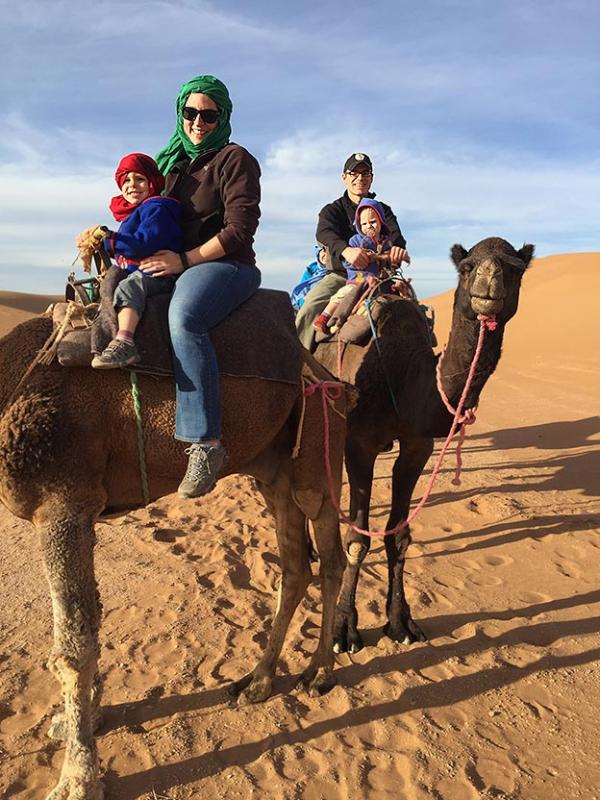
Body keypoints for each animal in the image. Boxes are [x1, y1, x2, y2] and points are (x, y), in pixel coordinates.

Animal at [0, 316, 352, 796]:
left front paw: (77, 778)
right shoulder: (82, 511)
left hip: (317, 449)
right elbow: (91, 620)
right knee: (295, 568)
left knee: (333, 558)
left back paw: (320, 673)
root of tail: (328, 374)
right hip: (273, 469)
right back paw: (257, 681)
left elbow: (72, 646)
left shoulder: (62, 503)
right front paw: (87, 718)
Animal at [314, 234, 536, 652]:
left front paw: (401, 622)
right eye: (467, 267)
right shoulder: (359, 444)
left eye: (515, 269)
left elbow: (399, 536)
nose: (488, 284)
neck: (402, 373)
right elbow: (358, 539)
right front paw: (344, 628)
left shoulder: (417, 447)